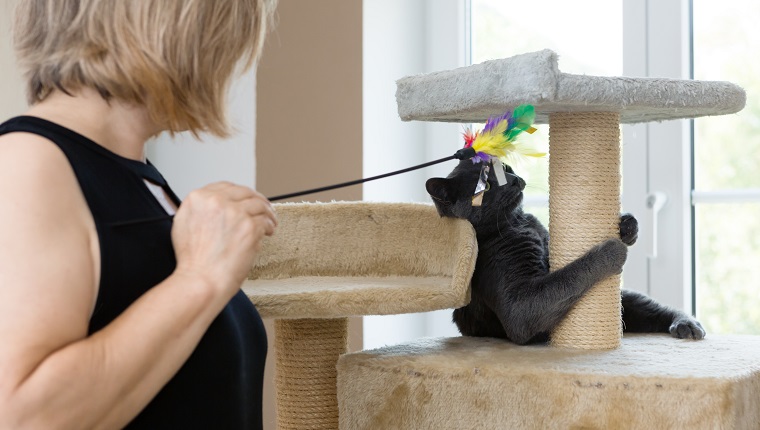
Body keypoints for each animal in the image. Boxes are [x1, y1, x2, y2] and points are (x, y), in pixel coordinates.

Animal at [424, 160, 704, 344]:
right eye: (486, 186)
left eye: (505, 167)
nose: (513, 180)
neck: (517, 222)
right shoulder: (520, 305)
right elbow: (569, 274)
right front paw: (613, 248)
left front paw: (627, 226)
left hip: (627, 299)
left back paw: (687, 324)